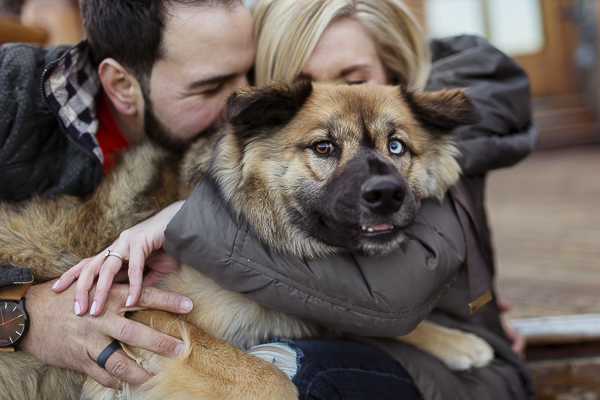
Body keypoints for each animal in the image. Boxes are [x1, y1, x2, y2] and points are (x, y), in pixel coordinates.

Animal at [0, 79, 492, 398]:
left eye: (396, 147)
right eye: (324, 147)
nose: (387, 194)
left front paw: (455, 341)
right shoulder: (141, 316)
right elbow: (272, 380)